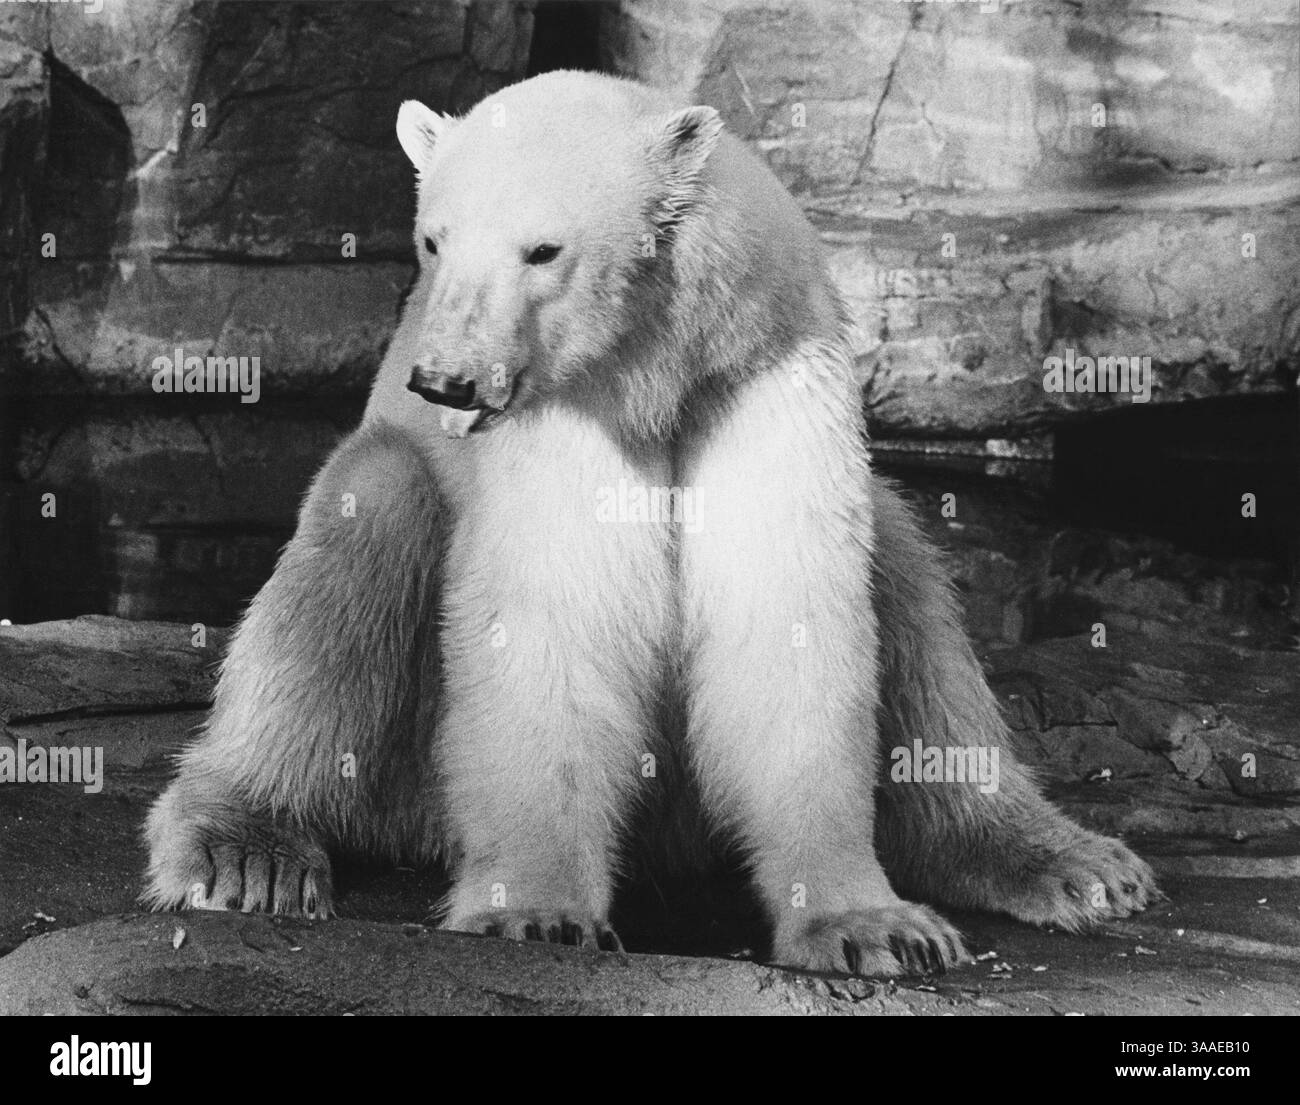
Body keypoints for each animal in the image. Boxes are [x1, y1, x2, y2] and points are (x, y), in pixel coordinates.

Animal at [143, 70, 1157, 976]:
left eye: (542, 249)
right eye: (433, 239)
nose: (445, 382)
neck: (656, 369)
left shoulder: (761, 376)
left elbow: (791, 617)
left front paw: (876, 927)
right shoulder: (566, 413)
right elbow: (553, 624)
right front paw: (539, 913)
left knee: (906, 574)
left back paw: (1074, 864)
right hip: (408, 756)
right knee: (361, 535)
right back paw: (249, 851)